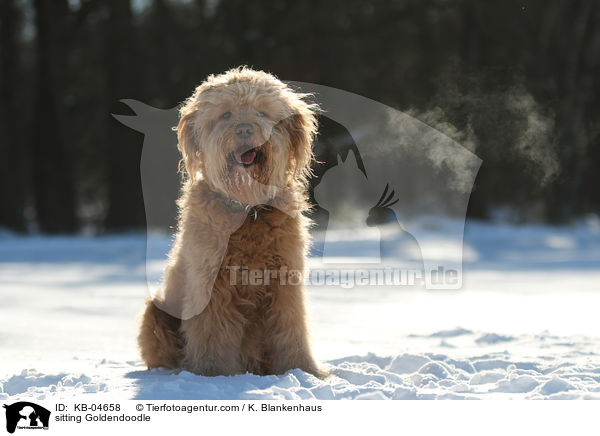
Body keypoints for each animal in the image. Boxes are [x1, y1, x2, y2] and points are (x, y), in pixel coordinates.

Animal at [137, 67, 324, 378]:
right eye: (225, 114)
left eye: (262, 112)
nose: (245, 129)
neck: (248, 209)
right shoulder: (211, 285)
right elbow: (211, 333)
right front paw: (212, 374)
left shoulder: (285, 281)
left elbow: (290, 328)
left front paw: (301, 369)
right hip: (155, 314)